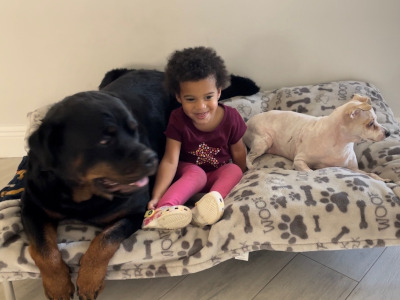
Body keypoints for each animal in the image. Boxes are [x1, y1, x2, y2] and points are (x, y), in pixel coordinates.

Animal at [244, 94, 390, 180]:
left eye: (376, 120)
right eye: (371, 124)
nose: (388, 133)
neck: (341, 144)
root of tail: (247, 122)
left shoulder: (354, 169)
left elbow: (372, 174)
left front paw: (385, 180)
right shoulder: (299, 160)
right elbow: (311, 172)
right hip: (263, 142)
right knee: (248, 157)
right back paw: (251, 167)